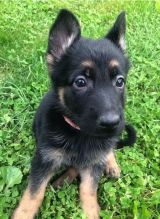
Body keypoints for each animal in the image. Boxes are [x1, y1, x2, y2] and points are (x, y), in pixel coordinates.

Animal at [12, 9, 136, 219]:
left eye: (119, 81)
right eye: (80, 82)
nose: (112, 124)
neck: (79, 133)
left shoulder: (93, 165)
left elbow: (88, 189)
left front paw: (90, 212)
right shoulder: (44, 160)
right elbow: (33, 194)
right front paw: (22, 214)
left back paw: (109, 163)